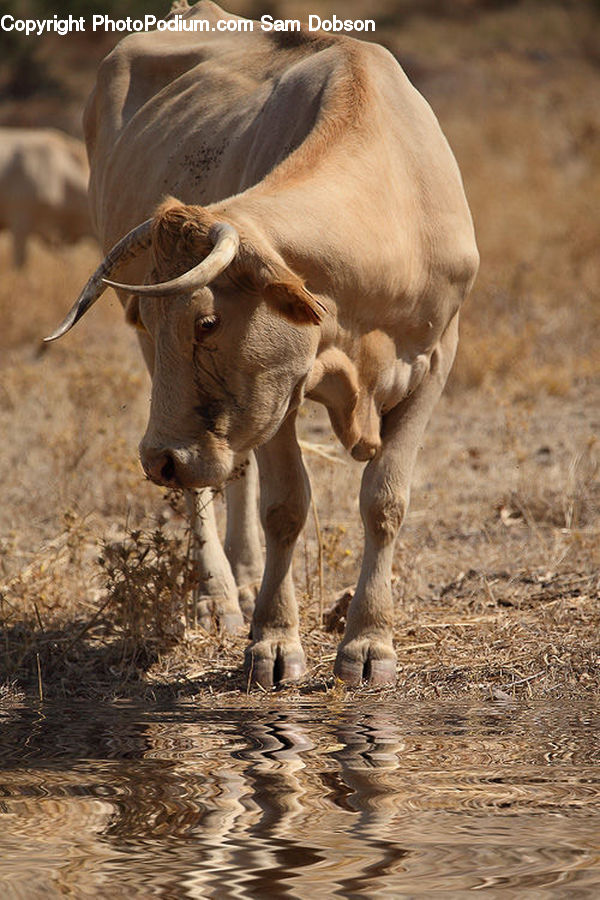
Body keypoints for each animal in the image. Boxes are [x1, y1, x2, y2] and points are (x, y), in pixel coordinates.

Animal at [45, 1, 479, 688]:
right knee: (207, 484)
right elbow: (286, 507)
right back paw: (220, 596)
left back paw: (246, 578)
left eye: (207, 322)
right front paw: (273, 641)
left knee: (235, 466)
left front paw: (369, 641)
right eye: (150, 318)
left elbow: (385, 500)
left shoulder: (436, 361)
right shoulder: (283, 388)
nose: (158, 460)